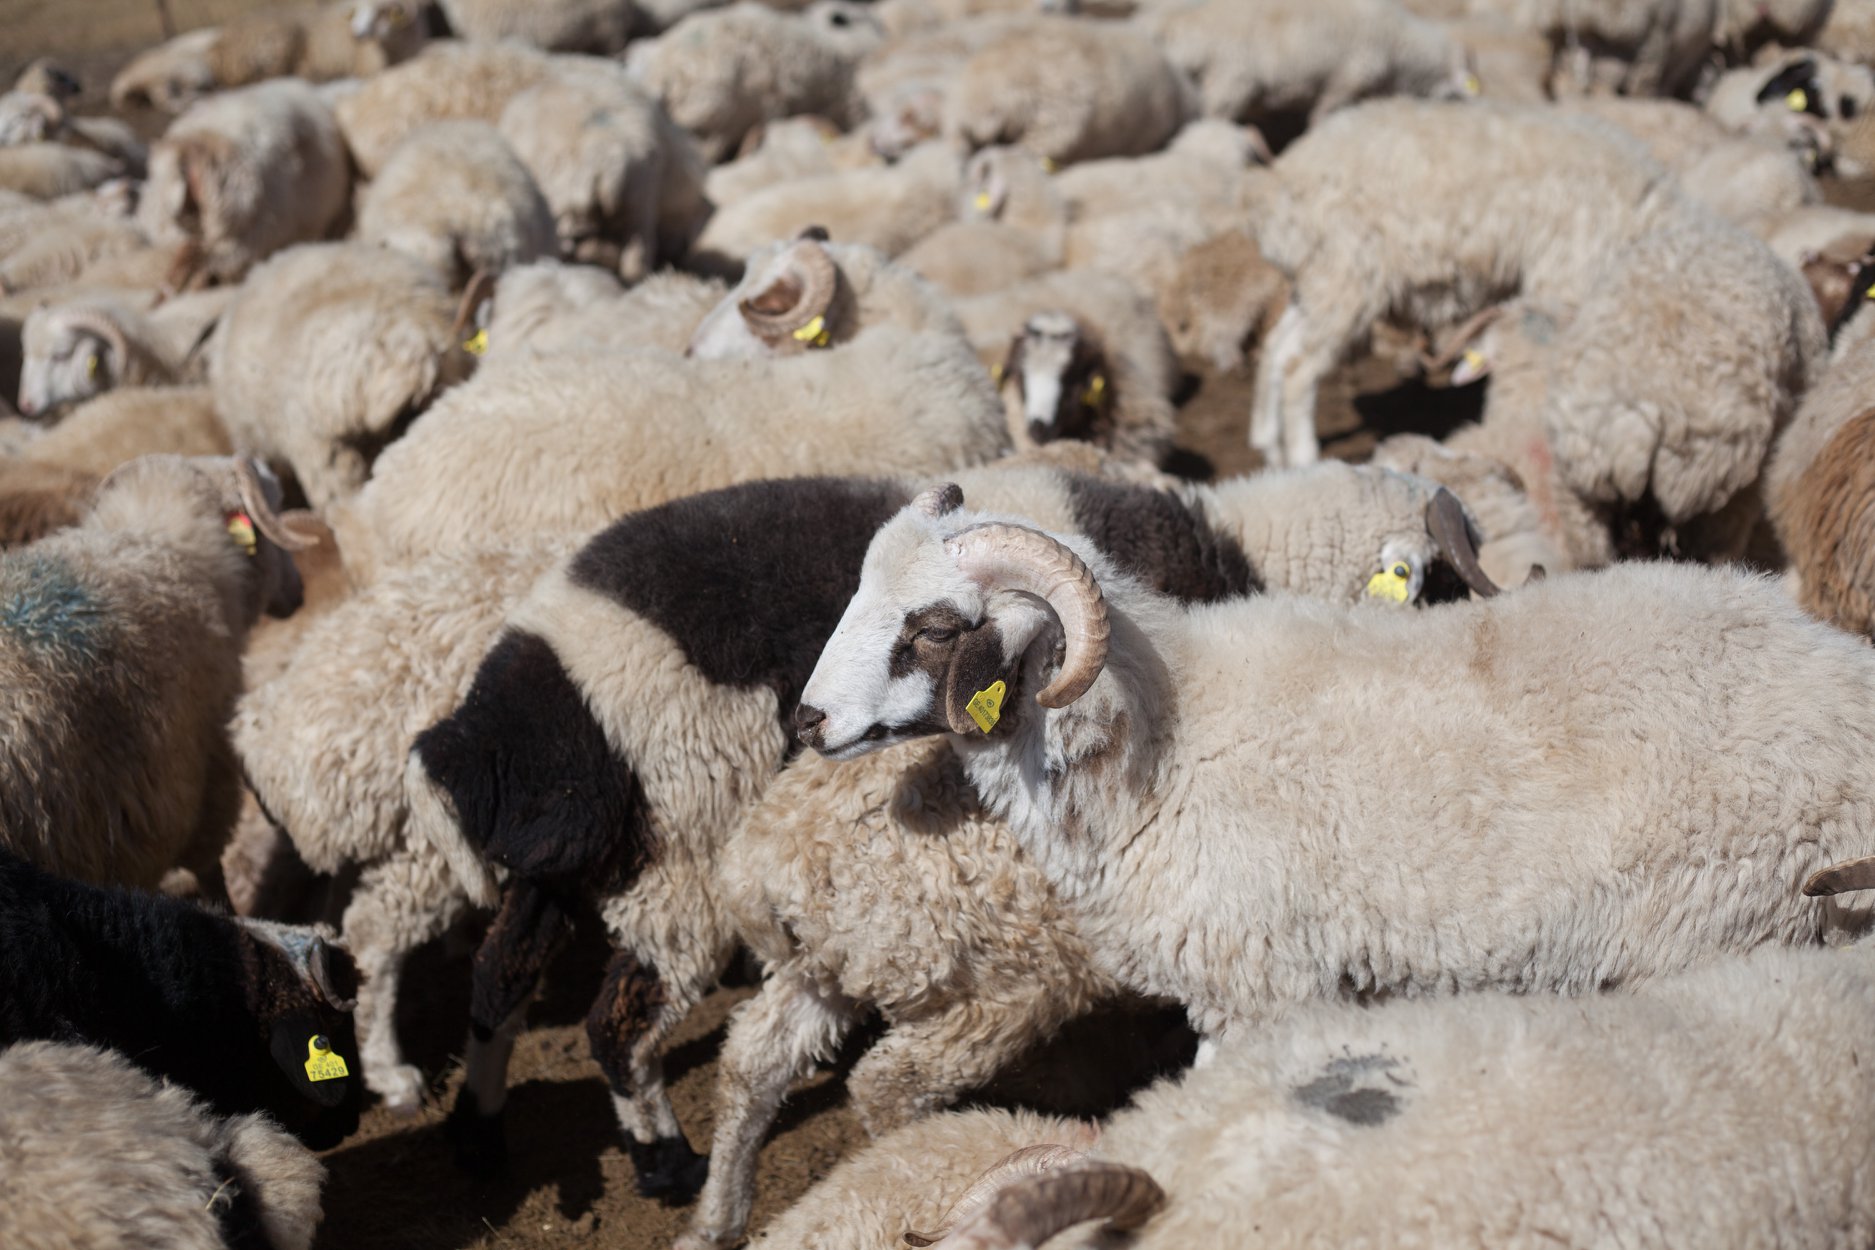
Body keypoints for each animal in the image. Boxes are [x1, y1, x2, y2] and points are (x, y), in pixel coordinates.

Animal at [796, 482, 1875, 1049]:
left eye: (935, 628)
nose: (806, 719)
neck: (1169, 742)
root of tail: (1838, 678)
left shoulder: (1263, 987)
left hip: (1723, 920)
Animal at [1246, 99, 1680, 468]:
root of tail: (1276, 188)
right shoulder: (1564, 279)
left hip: (1319, 282)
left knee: (1278, 348)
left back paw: (1269, 446)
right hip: (1347, 273)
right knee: (1299, 369)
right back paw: (1304, 458)